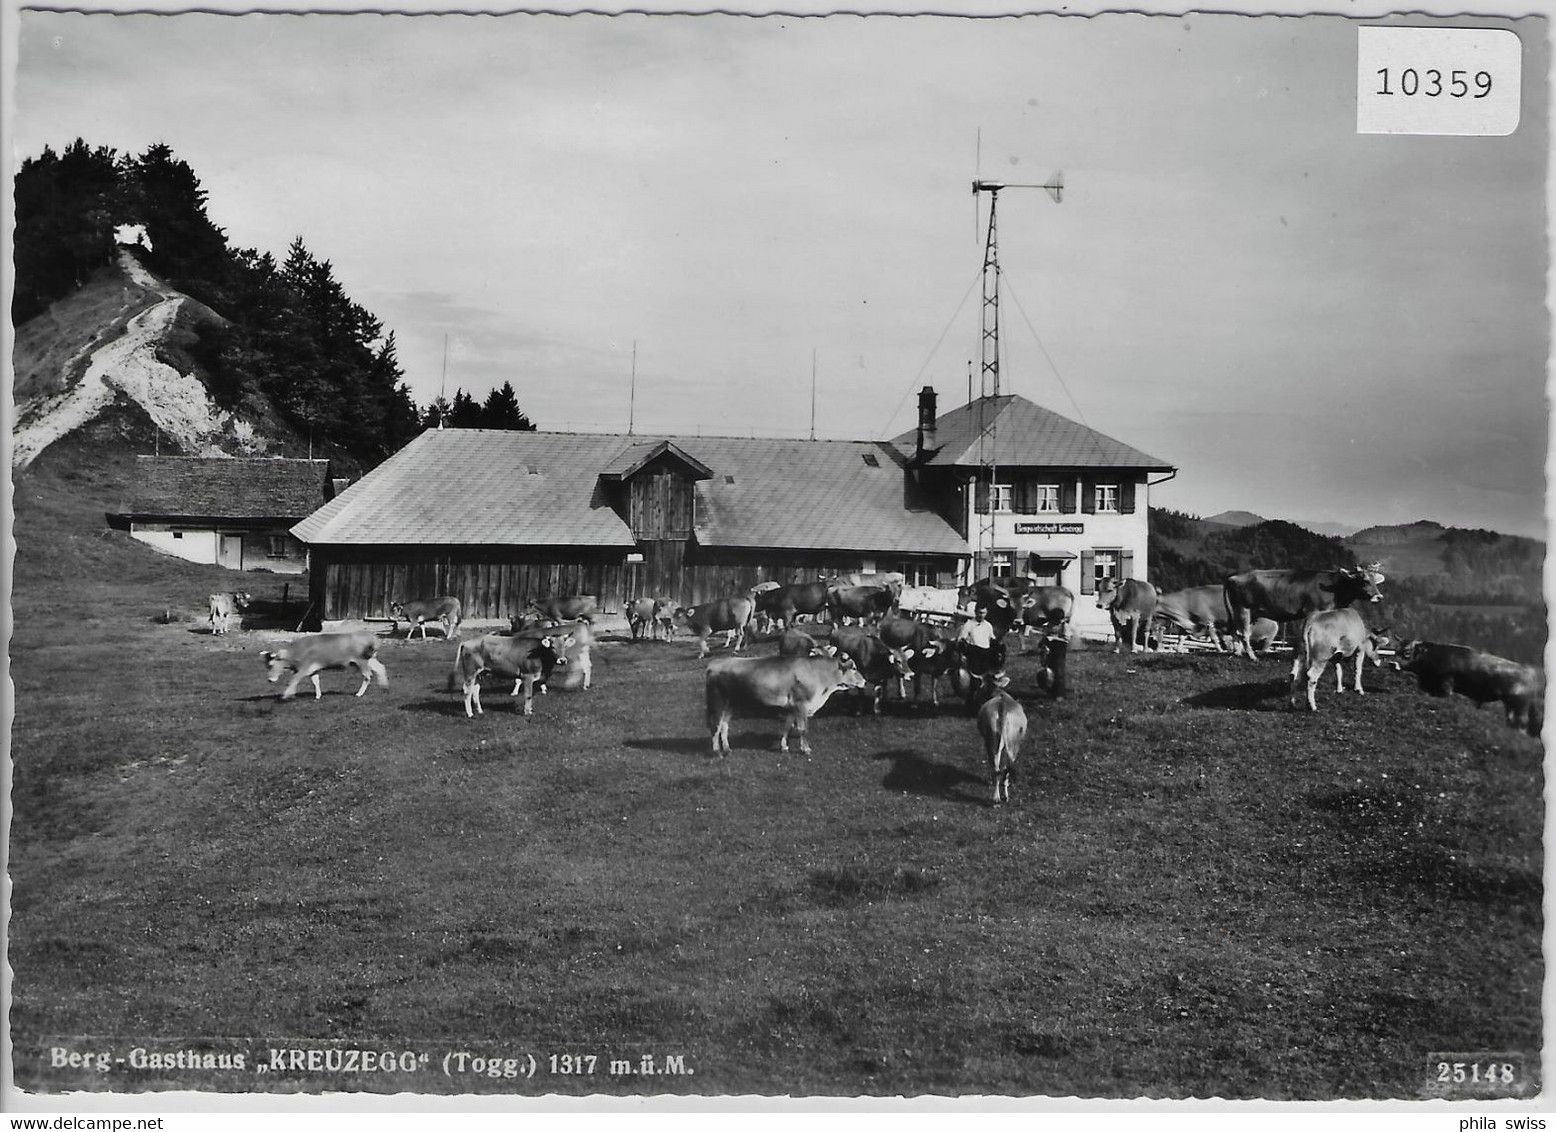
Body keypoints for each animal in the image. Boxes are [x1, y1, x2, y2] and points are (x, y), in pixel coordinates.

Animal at [261, 631, 389, 702]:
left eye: (271, 665)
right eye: (267, 666)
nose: (269, 679)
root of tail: (372, 637)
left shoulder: (304, 668)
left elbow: (293, 680)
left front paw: (286, 695)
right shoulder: (313, 670)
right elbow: (315, 682)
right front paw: (318, 696)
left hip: (361, 661)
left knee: (368, 676)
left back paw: (359, 694)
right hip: (370, 659)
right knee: (380, 668)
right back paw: (384, 686)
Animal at [709, 649, 877, 755]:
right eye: (853, 668)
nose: (864, 681)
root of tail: (715, 663)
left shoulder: (792, 707)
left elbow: (787, 726)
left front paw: (784, 747)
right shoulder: (801, 704)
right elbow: (803, 729)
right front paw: (806, 749)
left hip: (730, 705)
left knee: (724, 725)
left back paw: (727, 749)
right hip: (718, 703)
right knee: (716, 725)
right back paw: (717, 751)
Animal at [1219, 569, 1381, 659]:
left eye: (1375, 581)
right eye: (1365, 580)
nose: (1379, 596)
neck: (1335, 588)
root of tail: (1233, 577)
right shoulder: (1313, 611)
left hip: (1240, 612)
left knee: (1234, 631)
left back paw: (1237, 652)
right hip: (1243, 609)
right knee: (1244, 633)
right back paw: (1252, 656)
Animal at [1387, 640, 1543, 737]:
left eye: (1407, 653)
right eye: (1395, 650)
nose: (1392, 663)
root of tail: (1527, 670)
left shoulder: (1446, 682)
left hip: (1521, 705)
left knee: (1521, 722)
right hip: (1510, 704)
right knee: (1511, 719)